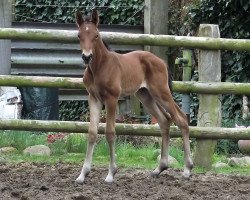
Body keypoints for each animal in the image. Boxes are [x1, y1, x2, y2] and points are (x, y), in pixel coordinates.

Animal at [75, 10, 192, 184]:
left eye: (96, 35)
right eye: (79, 35)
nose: (86, 57)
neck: (99, 67)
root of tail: (161, 61)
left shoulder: (111, 99)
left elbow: (110, 132)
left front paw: (111, 174)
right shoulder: (93, 98)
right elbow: (92, 133)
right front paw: (83, 174)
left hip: (161, 92)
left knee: (181, 119)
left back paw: (187, 169)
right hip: (145, 95)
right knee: (165, 121)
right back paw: (159, 168)